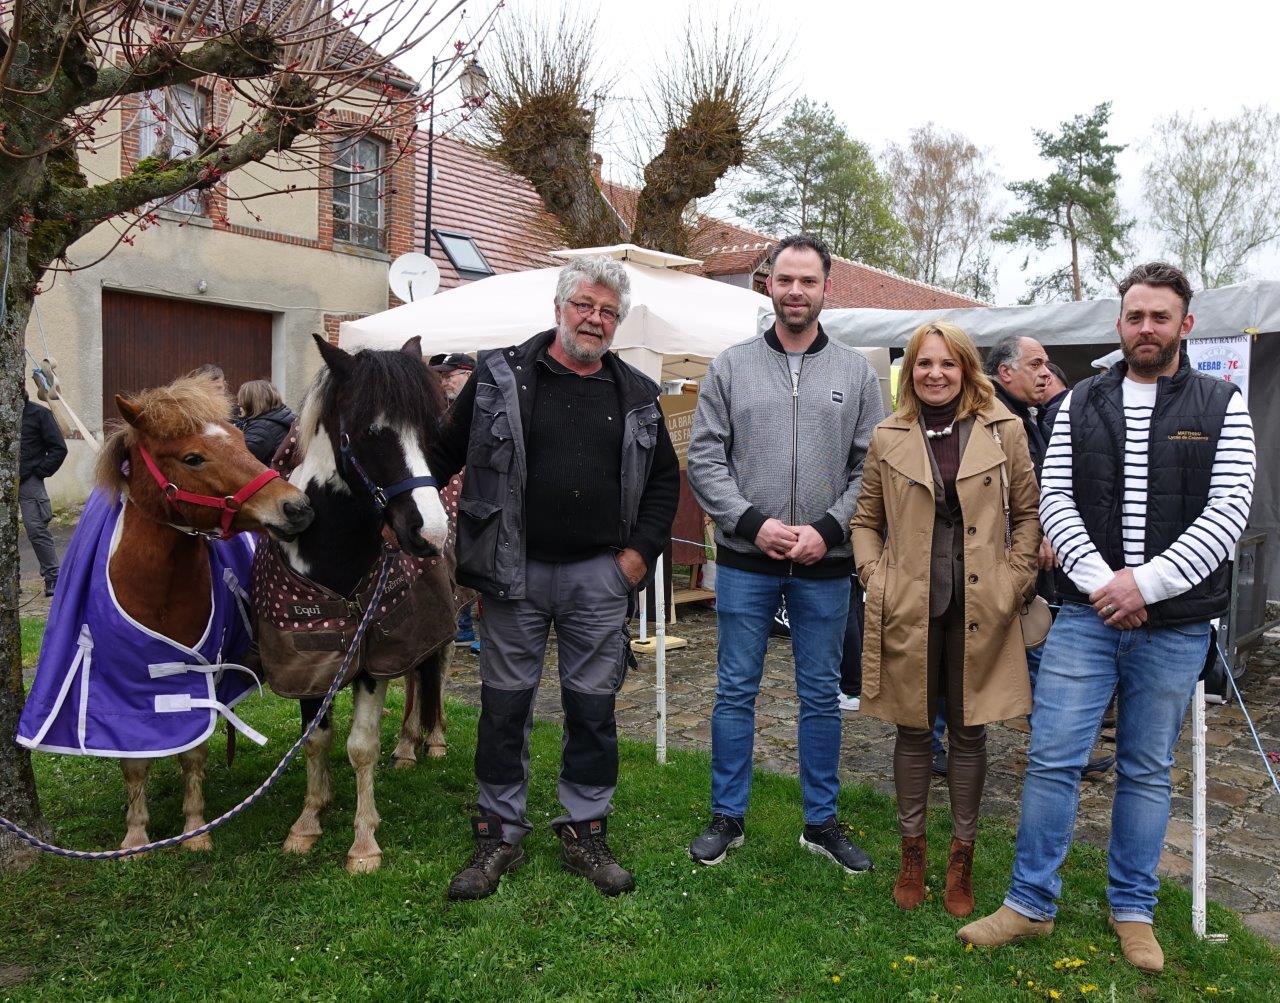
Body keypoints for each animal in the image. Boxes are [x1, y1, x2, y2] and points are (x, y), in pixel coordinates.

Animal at [94, 371, 312, 849]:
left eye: (241, 439)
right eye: (193, 457)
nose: (297, 507)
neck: (157, 592)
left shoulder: (199, 671)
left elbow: (194, 752)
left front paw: (195, 831)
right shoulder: (124, 681)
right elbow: (134, 760)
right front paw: (135, 837)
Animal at [272, 332, 453, 875]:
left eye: (431, 430)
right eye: (372, 432)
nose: (432, 533)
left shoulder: (371, 660)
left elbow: (360, 746)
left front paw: (363, 843)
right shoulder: (312, 657)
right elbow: (316, 738)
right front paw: (309, 820)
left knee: (433, 669)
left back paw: (431, 741)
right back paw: (408, 747)